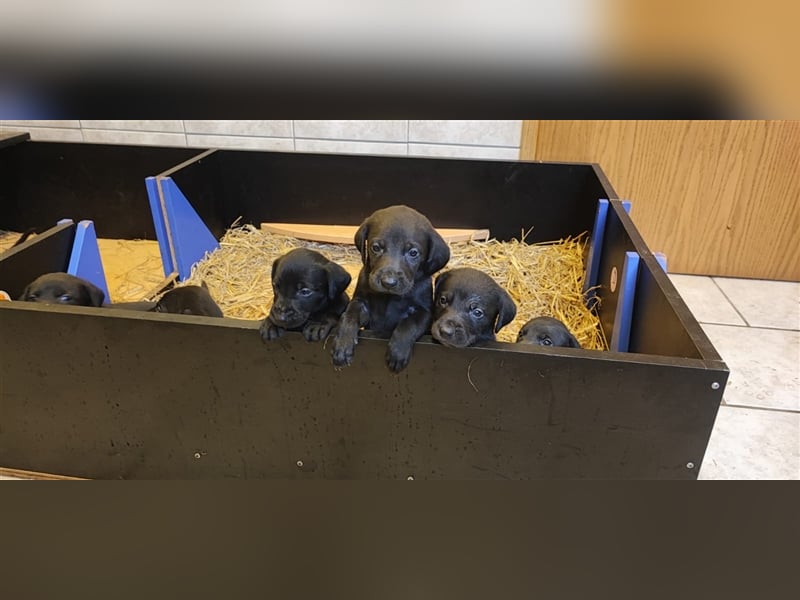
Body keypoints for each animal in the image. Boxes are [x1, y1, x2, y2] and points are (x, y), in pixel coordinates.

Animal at [330, 207, 450, 376]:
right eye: (375, 247)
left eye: (413, 252)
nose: (388, 282)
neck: (389, 297)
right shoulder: (362, 303)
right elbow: (350, 314)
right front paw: (343, 342)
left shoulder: (425, 311)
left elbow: (409, 323)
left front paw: (398, 351)